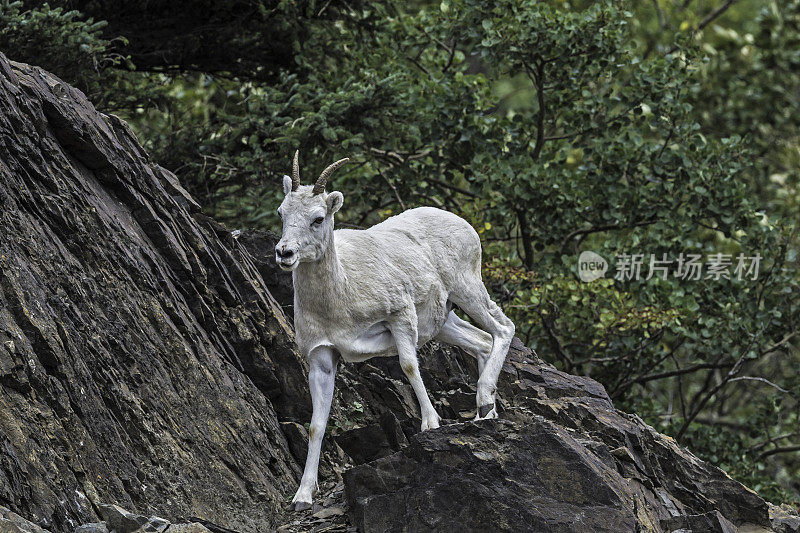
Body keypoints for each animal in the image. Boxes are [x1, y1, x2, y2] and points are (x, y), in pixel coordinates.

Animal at [278, 152, 516, 510]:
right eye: (282, 213)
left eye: (318, 218)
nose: (284, 253)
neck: (341, 293)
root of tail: (465, 226)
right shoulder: (322, 357)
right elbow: (316, 426)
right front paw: (303, 496)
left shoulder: (400, 318)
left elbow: (409, 366)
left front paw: (430, 424)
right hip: (444, 321)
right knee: (482, 342)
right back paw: (484, 413)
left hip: (468, 289)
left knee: (503, 328)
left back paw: (485, 401)